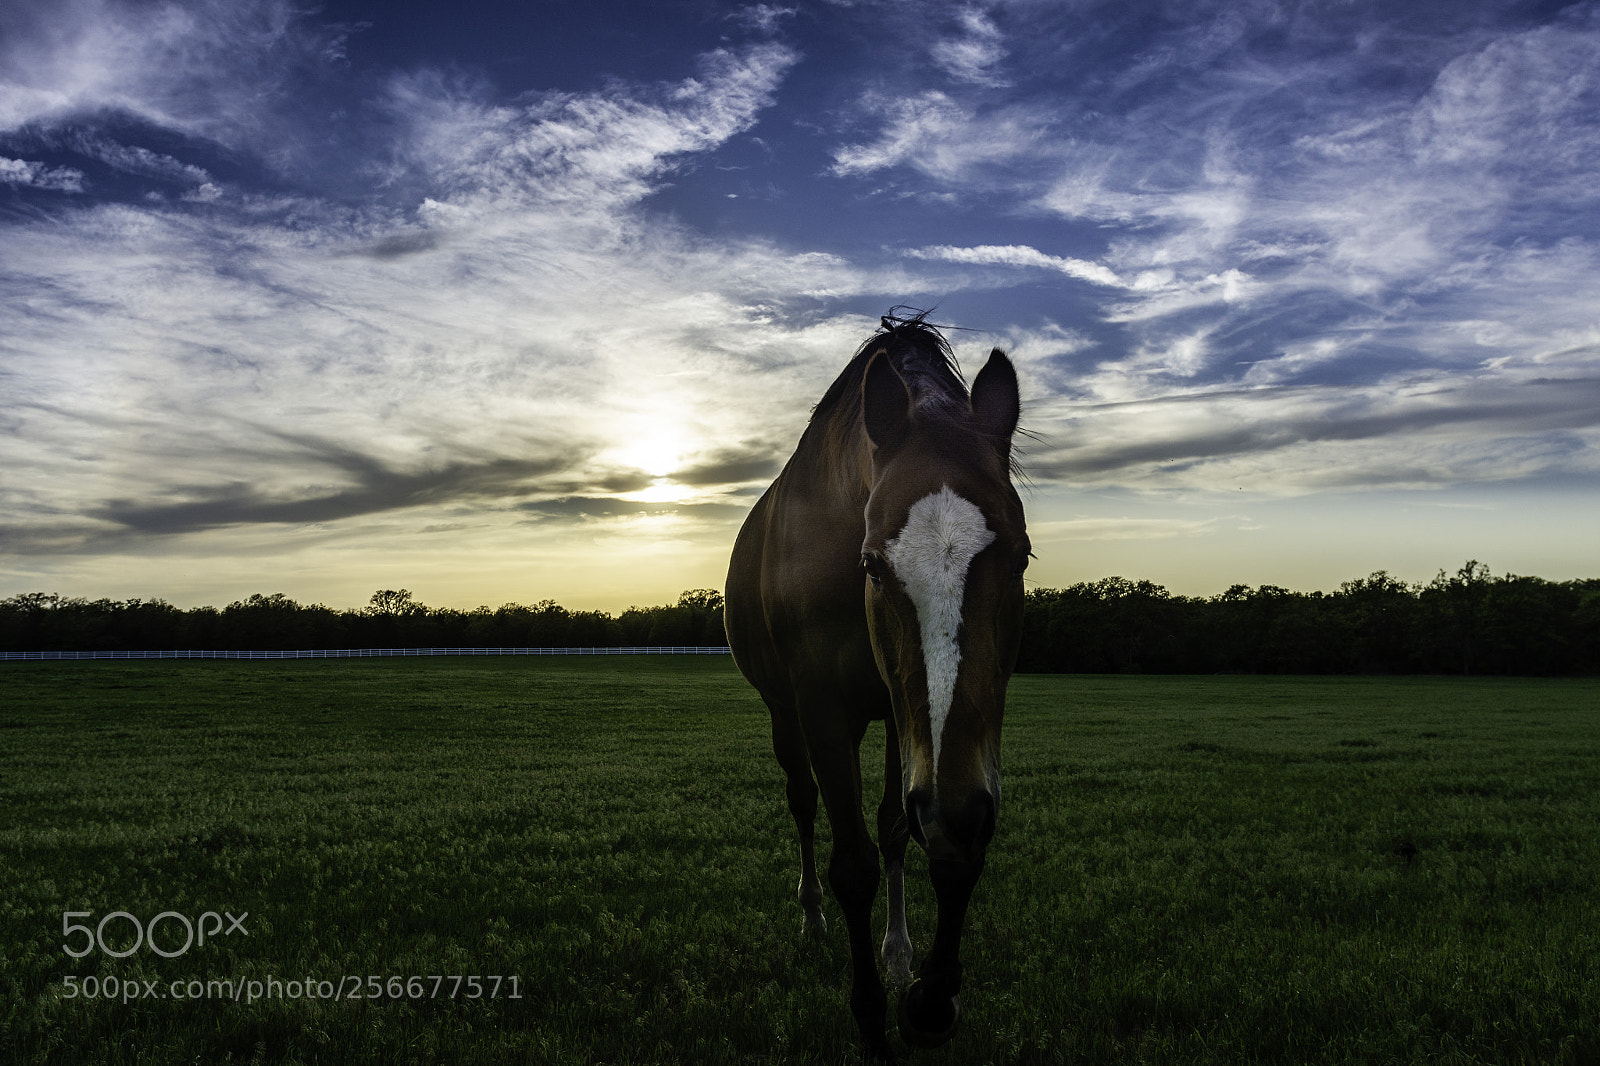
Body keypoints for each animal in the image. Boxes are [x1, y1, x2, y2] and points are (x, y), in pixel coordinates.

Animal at [724, 311, 1029, 1060]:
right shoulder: (823, 714)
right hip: (784, 716)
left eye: (1021, 556)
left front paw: (927, 993)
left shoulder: (919, 729)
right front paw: (869, 1021)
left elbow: (921, 834)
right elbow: (854, 865)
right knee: (803, 805)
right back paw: (811, 920)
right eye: (872, 564)